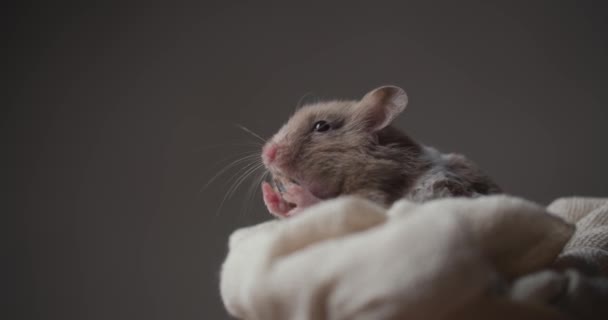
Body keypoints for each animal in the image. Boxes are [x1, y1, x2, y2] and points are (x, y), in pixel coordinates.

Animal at [258, 85, 502, 218]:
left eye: (321, 126)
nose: (265, 154)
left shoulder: (377, 193)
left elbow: (330, 204)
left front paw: (295, 195)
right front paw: (269, 194)